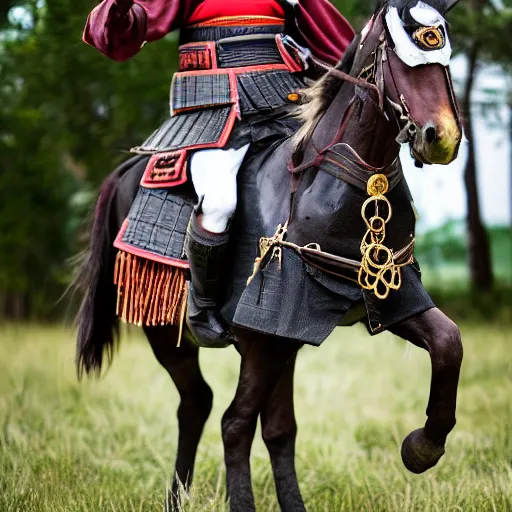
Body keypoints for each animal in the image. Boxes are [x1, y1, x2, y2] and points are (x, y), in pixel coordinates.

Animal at [75, 2, 464, 510]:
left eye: (443, 57)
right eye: (399, 58)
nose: (444, 138)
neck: (329, 183)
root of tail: (129, 168)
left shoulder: (377, 297)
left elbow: (448, 344)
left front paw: (422, 448)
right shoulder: (260, 334)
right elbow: (236, 424)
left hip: (279, 344)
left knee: (244, 417)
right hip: (165, 329)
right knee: (200, 403)